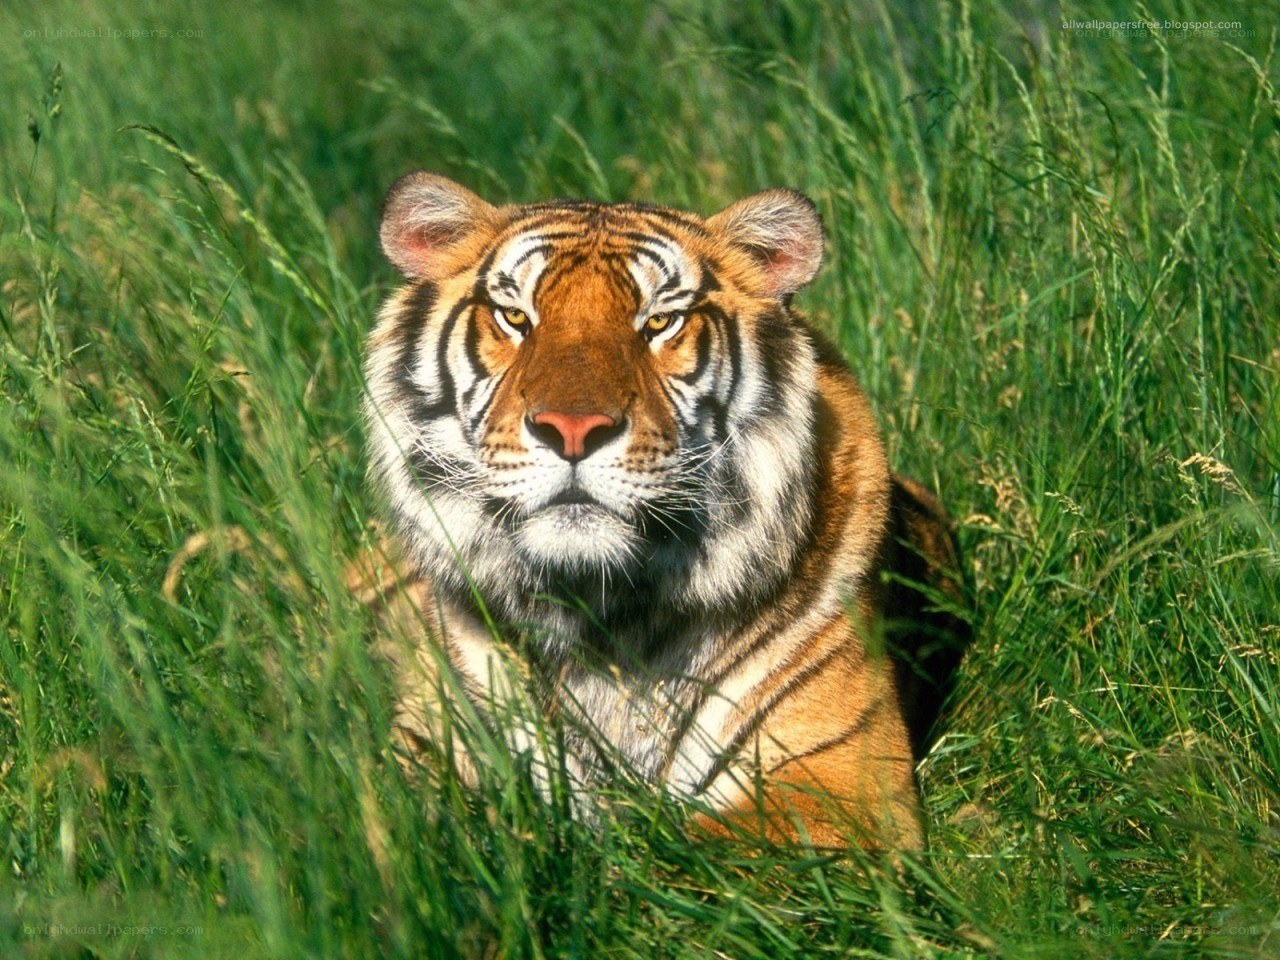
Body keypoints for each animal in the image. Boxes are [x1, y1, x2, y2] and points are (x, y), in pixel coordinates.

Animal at [361, 172, 968, 849]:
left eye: (659, 322)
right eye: (515, 317)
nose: (573, 430)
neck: (600, 614)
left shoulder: (841, 786)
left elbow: (671, 854)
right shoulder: (427, 743)